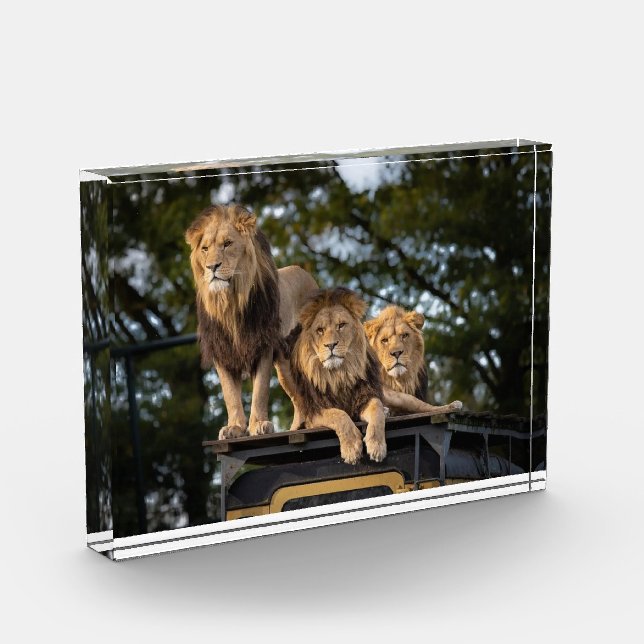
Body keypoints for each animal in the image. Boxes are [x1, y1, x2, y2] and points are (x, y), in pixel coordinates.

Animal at [185, 204, 318, 440]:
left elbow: (260, 391)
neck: (230, 303)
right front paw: (235, 428)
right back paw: (297, 428)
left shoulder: (262, 346)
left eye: (228, 244)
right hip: (285, 367)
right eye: (205, 249)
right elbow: (230, 395)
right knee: (299, 398)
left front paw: (259, 425)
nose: (212, 267)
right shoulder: (222, 352)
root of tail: (304, 272)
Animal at [284, 287, 387, 465]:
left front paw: (377, 445)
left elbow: (377, 408)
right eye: (320, 330)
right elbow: (338, 415)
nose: (330, 345)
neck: (339, 375)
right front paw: (351, 448)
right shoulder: (314, 412)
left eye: (341, 325)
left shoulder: (364, 398)